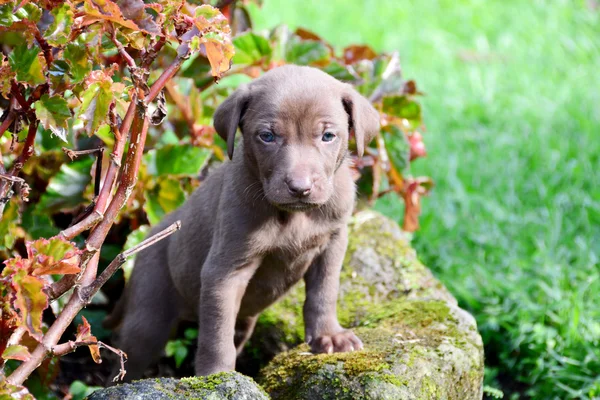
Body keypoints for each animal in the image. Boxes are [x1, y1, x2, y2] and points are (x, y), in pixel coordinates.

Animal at [106, 64, 380, 380]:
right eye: (267, 136)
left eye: (328, 136)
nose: (300, 188)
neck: (294, 216)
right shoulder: (225, 271)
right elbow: (216, 335)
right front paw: (217, 375)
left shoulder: (332, 244)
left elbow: (324, 292)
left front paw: (329, 336)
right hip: (149, 315)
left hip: (243, 320)